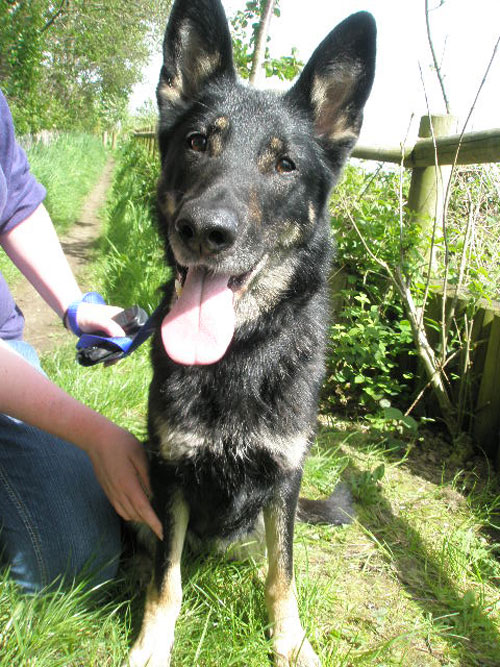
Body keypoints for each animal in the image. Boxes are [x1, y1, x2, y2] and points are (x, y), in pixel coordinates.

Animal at [129, 2, 376, 664]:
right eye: (197, 142)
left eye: (284, 163)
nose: (204, 231)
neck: (239, 354)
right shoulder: (169, 472)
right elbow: (166, 577)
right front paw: (152, 642)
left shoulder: (284, 480)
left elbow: (281, 573)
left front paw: (291, 642)